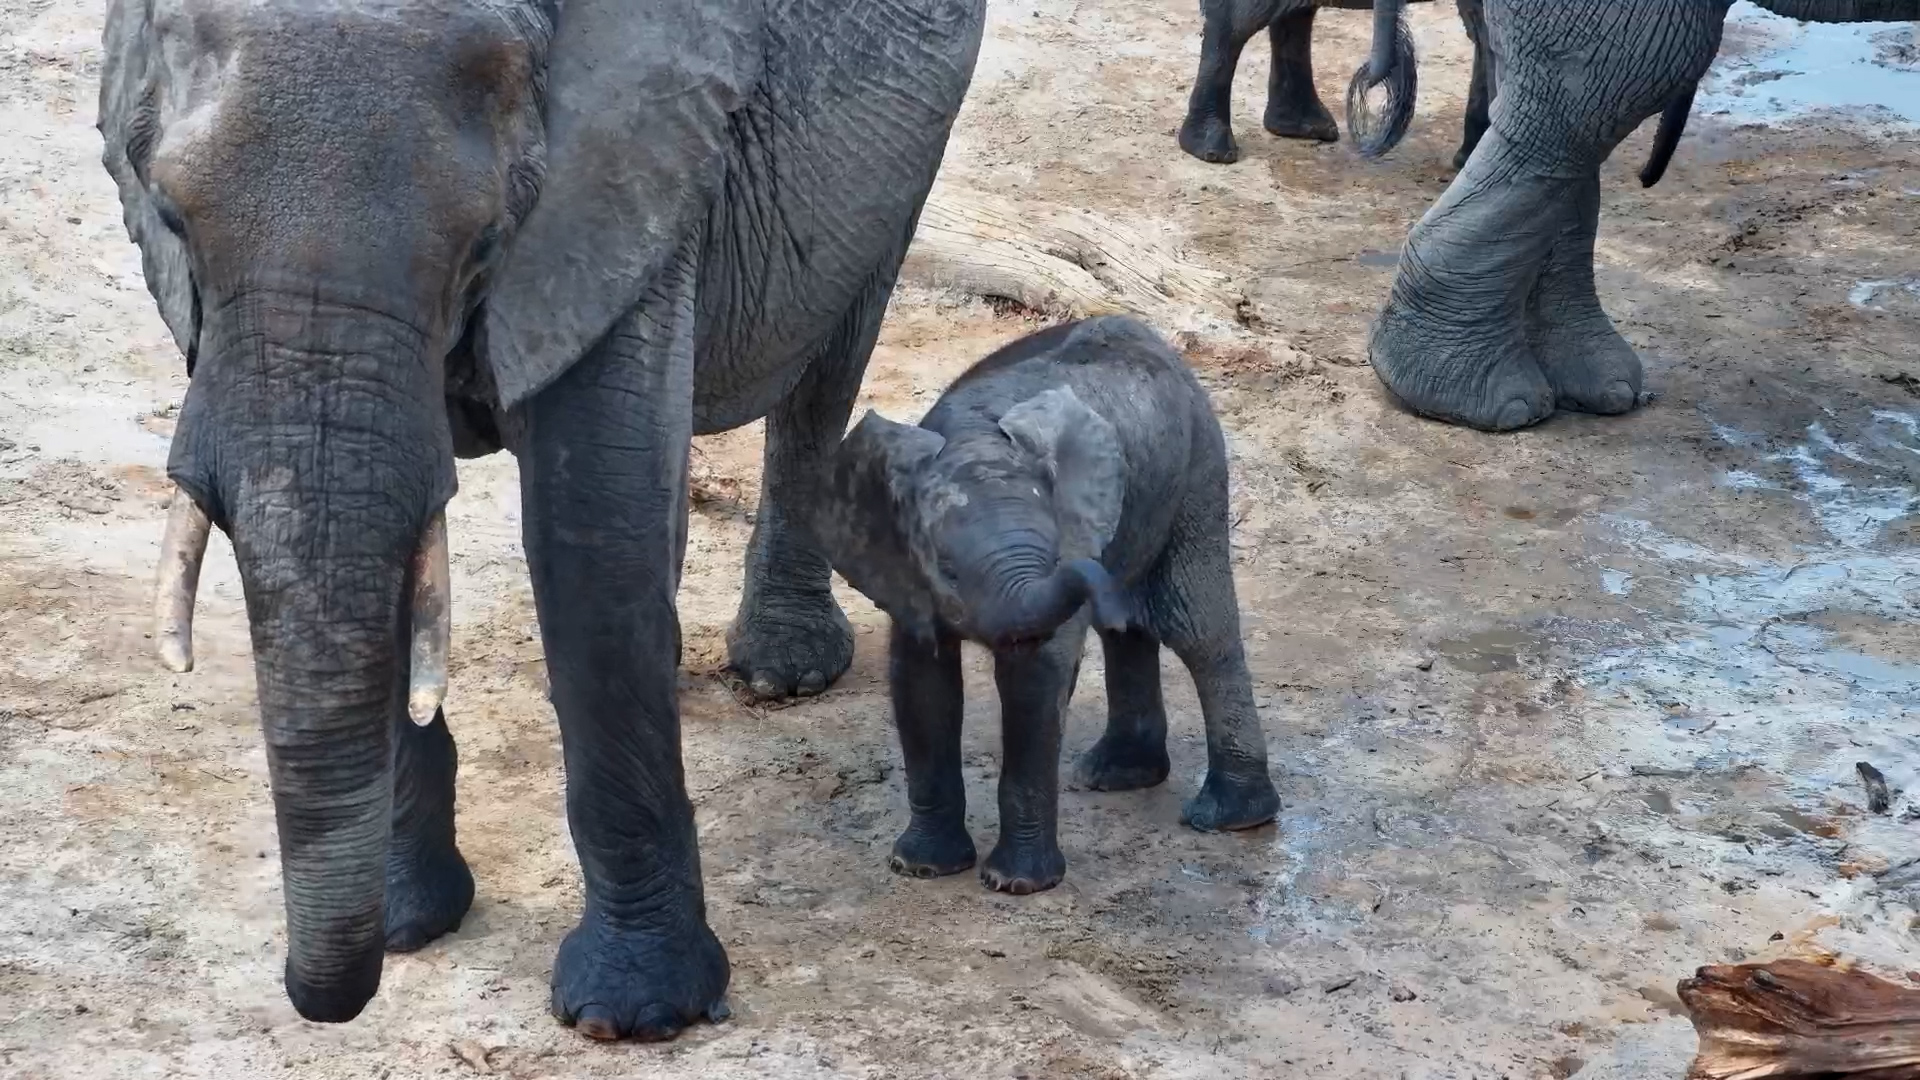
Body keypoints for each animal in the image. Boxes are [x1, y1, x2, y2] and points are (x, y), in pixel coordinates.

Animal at [100, 0, 985, 1041]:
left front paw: (631, 1015)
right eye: (170, 220)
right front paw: (408, 929)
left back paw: (783, 669)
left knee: (832, 352)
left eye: (484, 239)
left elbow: (592, 534)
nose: (323, 999)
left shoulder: (624, 171)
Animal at [818, 316, 1282, 896]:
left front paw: (1014, 885)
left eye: (1053, 550)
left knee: (1199, 629)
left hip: (1197, 470)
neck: (973, 439)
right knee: (1131, 630)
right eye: (946, 568)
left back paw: (1229, 818)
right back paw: (1117, 775)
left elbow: (1034, 678)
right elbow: (921, 679)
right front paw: (920, 868)